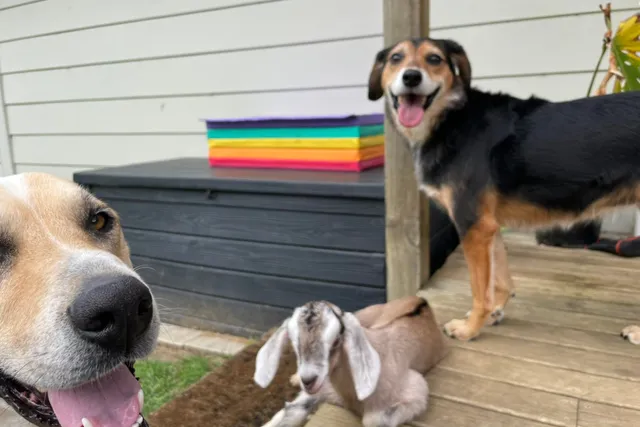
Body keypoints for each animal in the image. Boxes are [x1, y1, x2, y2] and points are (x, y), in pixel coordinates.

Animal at [253, 295, 447, 427]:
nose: (308, 380)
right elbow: (289, 411)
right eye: (295, 342)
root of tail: (420, 299)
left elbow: (372, 420)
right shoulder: (322, 389)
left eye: (335, 340)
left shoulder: (416, 390)